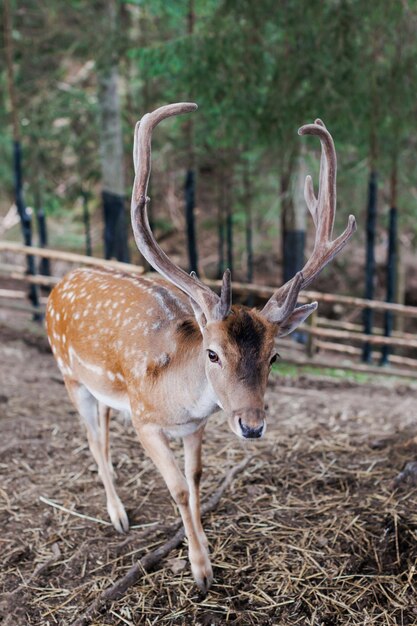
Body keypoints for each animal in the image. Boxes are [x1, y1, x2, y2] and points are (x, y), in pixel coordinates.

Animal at [46, 102, 358, 588]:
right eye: (212, 353)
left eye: (275, 356)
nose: (252, 425)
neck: (177, 400)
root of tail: (62, 279)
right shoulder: (145, 420)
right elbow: (175, 487)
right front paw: (200, 571)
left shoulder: (196, 426)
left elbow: (195, 478)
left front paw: (206, 548)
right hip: (67, 373)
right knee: (93, 439)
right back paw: (118, 516)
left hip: (103, 390)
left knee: (104, 431)